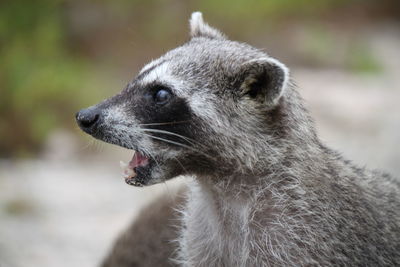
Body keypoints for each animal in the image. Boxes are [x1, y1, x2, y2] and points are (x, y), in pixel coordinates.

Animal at [76, 11, 400, 266]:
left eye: (161, 94)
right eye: (135, 79)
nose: (84, 116)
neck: (220, 189)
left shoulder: (299, 237)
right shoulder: (203, 242)